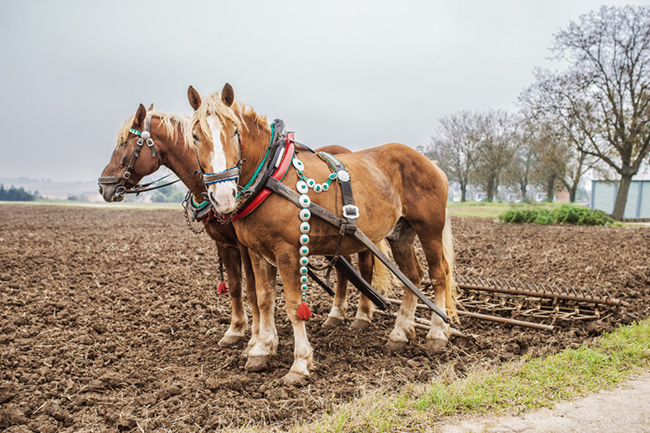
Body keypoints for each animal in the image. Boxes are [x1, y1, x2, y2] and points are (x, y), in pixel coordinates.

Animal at [187, 82, 456, 384]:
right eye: (195, 136)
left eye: (234, 131)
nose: (223, 196)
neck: (270, 174)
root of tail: (431, 163)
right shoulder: (257, 252)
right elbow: (264, 299)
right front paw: (261, 350)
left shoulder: (287, 251)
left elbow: (294, 306)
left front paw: (299, 364)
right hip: (401, 233)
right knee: (412, 276)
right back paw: (399, 333)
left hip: (429, 227)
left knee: (439, 274)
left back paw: (437, 334)